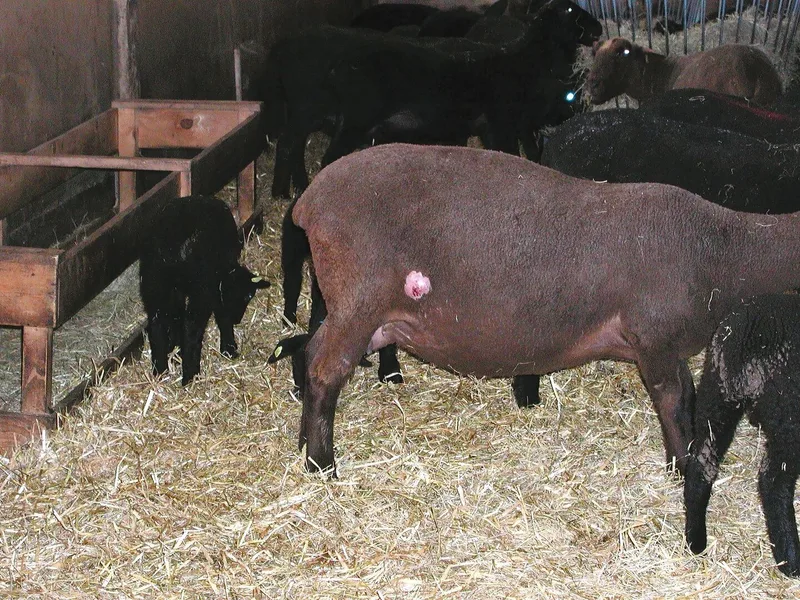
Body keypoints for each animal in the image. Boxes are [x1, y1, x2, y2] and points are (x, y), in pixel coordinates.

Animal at [139, 195, 270, 385]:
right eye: (248, 295)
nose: (237, 320)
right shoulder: (213, 286)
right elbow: (222, 315)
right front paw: (229, 348)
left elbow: (176, 316)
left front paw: (176, 350)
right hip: (199, 287)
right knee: (191, 327)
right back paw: (191, 375)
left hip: (154, 281)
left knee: (157, 323)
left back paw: (160, 372)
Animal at [288, 142, 800, 475]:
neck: (723, 252)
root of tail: (308, 202)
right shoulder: (652, 337)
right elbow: (671, 401)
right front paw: (680, 465)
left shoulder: (667, 345)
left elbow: (688, 396)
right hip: (359, 300)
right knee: (326, 370)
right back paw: (322, 464)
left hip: (355, 311)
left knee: (310, 354)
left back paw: (303, 446)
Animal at [684, 294, 800, 578]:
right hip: (790, 416)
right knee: (773, 481)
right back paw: (791, 561)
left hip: (716, 393)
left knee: (701, 464)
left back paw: (695, 542)